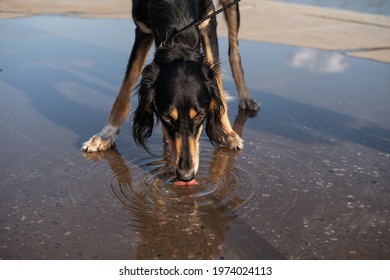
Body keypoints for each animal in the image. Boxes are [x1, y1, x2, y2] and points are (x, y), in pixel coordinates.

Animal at [81, 0, 258, 184]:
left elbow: (218, 82)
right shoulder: (143, 30)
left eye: (200, 116)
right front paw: (106, 135)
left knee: (234, 53)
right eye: (166, 116)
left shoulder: (208, 22)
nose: (186, 176)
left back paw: (246, 98)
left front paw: (226, 133)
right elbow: (125, 87)